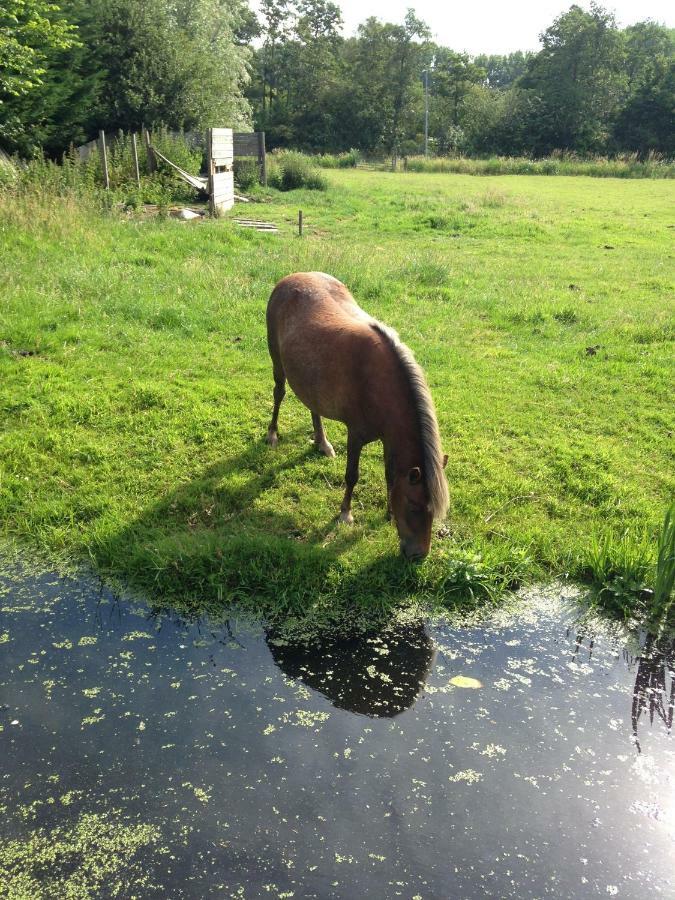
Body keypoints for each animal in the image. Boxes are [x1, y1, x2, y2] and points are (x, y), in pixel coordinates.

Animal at [266, 270, 452, 560]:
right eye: (413, 506)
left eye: (434, 512)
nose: (419, 555)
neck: (380, 383)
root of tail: (291, 278)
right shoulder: (356, 435)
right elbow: (352, 475)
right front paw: (345, 514)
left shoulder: (389, 438)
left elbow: (390, 476)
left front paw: (388, 513)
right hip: (277, 361)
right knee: (278, 393)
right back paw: (273, 434)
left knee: (314, 407)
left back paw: (322, 442)